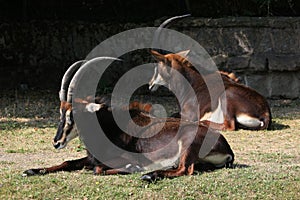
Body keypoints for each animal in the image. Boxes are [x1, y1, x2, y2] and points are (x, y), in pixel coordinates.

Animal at [23, 56, 234, 181]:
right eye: (61, 112)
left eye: (74, 114)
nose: (56, 142)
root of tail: (227, 147)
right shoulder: (92, 158)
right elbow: (68, 162)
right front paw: (31, 170)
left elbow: (98, 169)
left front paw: (133, 167)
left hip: (187, 146)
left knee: (185, 170)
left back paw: (149, 175)